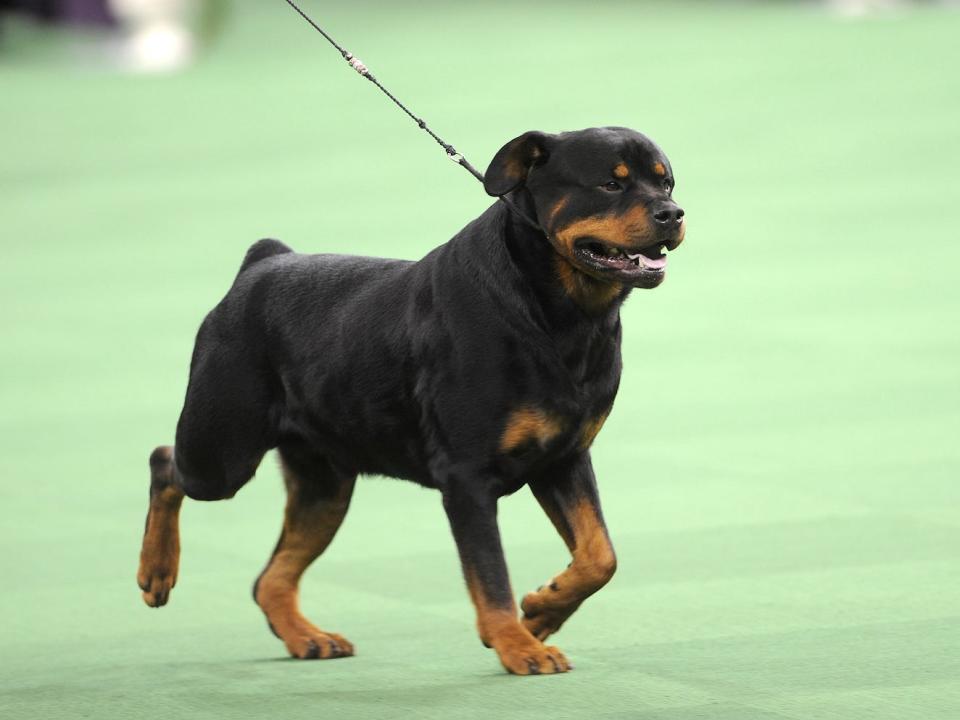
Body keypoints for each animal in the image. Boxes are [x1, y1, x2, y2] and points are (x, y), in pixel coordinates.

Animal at [139, 125, 688, 676]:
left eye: (666, 183)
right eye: (610, 185)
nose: (674, 213)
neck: (559, 313)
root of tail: (263, 263)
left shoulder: (564, 457)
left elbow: (600, 555)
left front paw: (542, 610)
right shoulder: (466, 478)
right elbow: (491, 574)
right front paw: (519, 646)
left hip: (324, 484)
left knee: (268, 576)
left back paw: (307, 637)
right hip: (223, 450)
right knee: (166, 463)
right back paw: (157, 572)